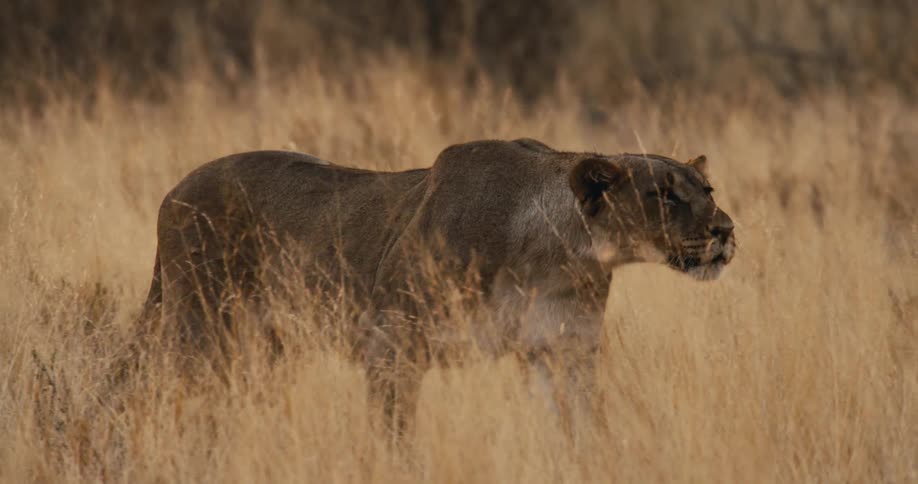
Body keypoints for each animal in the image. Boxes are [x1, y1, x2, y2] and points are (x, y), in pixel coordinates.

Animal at [138, 138, 735, 438]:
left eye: (707, 189)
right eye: (664, 195)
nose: (726, 230)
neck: (557, 258)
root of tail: (172, 190)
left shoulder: (562, 349)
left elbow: (577, 426)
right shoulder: (390, 346)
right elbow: (395, 439)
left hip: (265, 347)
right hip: (199, 330)